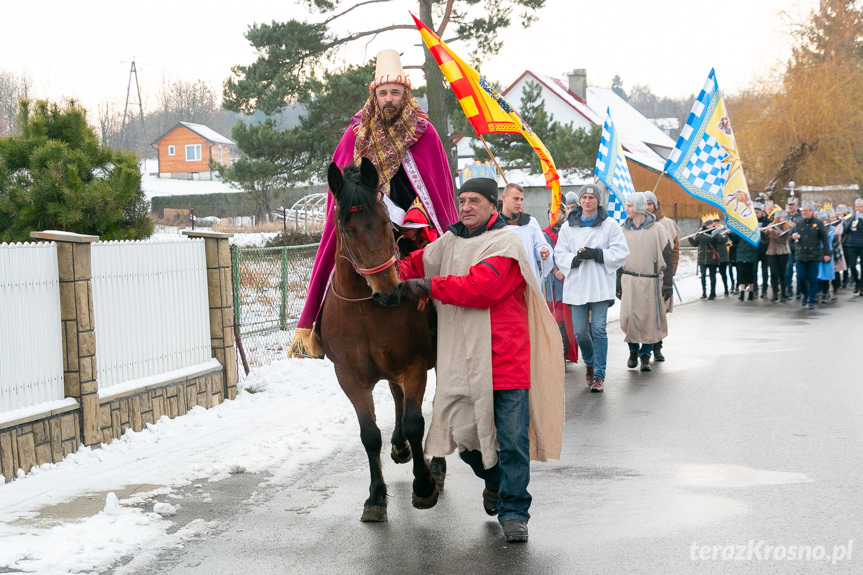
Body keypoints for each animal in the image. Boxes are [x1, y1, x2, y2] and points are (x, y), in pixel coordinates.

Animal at [318, 160, 438, 524]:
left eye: (386, 221)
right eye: (347, 230)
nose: (389, 291)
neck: (365, 309)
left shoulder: (414, 365)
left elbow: (416, 422)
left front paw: (424, 486)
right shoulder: (349, 377)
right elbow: (369, 434)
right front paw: (375, 497)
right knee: (397, 398)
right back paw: (398, 447)